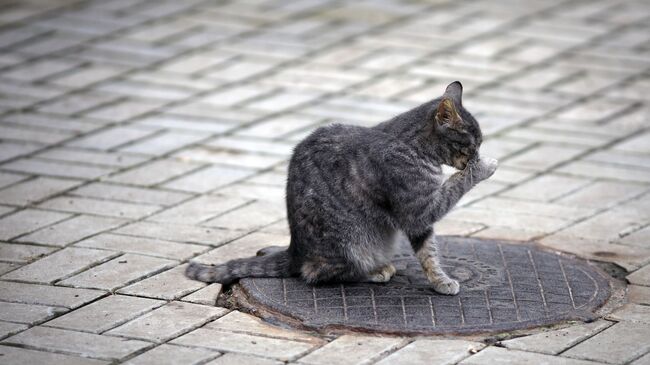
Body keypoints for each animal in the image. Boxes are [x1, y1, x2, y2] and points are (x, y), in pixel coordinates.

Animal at [186, 81, 496, 294]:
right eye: (473, 144)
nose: (478, 155)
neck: (411, 144)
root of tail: (295, 249)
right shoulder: (418, 209)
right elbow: (455, 185)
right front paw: (484, 166)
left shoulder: (419, 219)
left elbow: (428, 252)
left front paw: (439, 280)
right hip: (352, 244)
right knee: (316, 273)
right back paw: (375, 271)